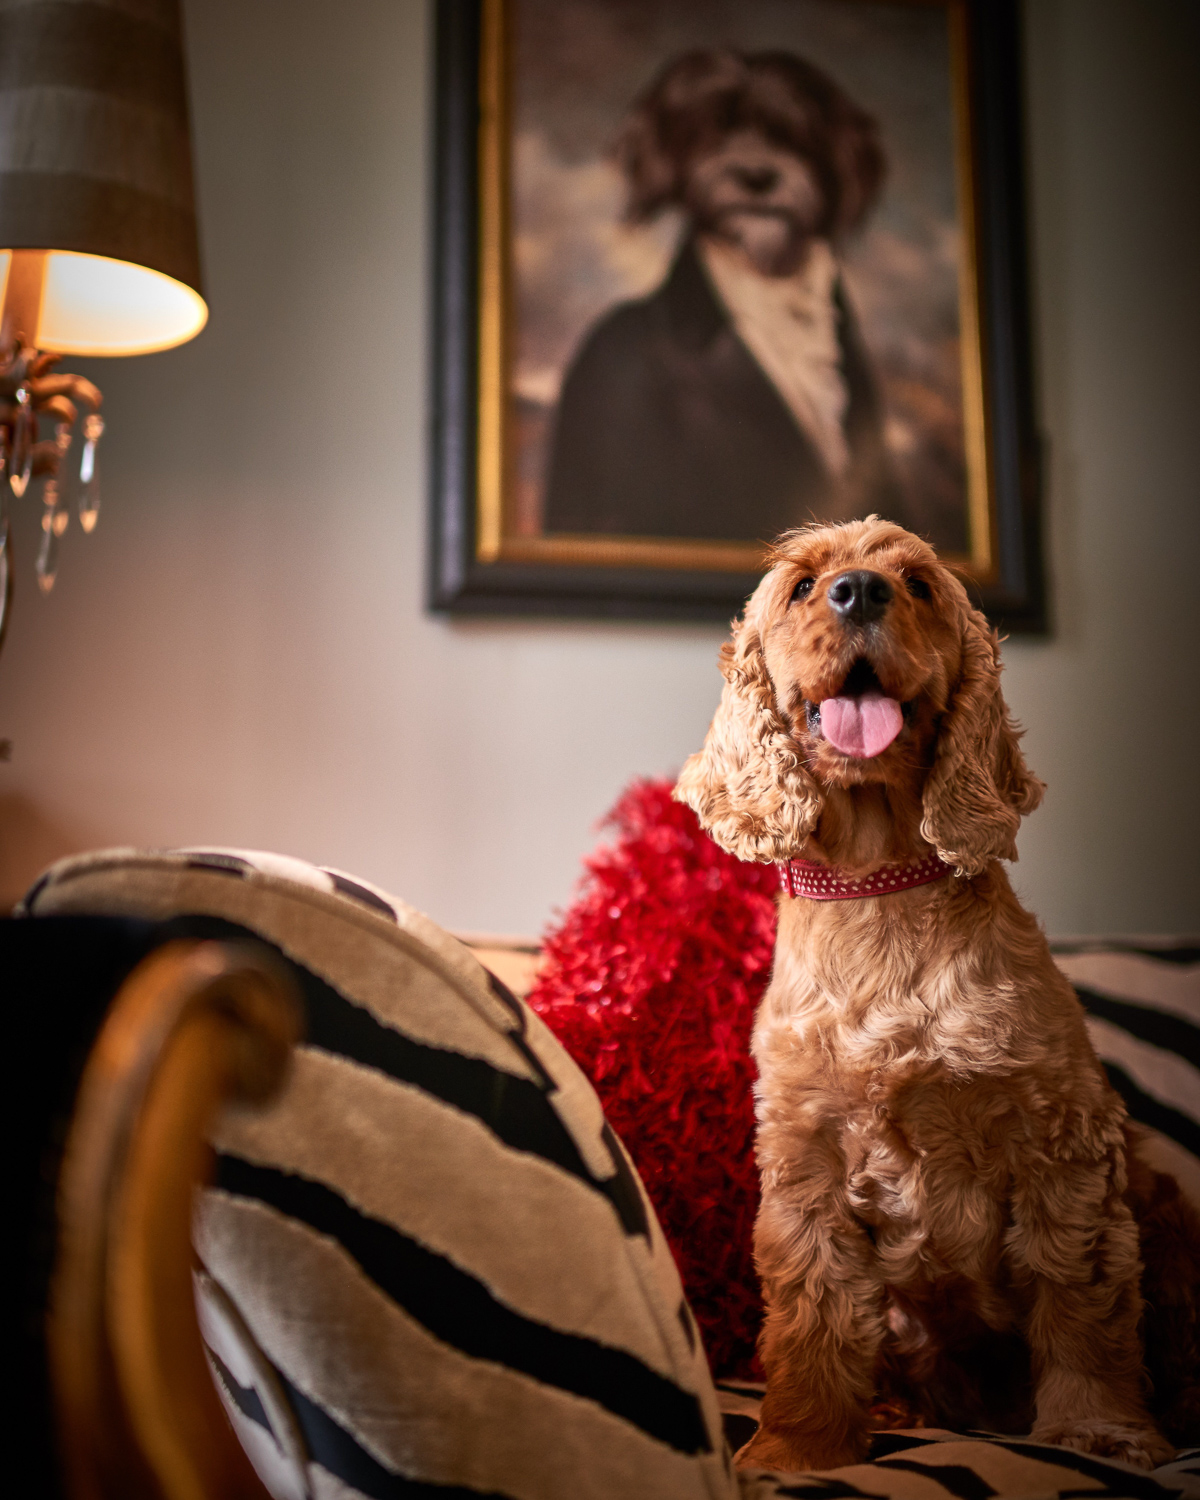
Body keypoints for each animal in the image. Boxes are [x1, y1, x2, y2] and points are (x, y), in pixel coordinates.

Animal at [675, 522, 1200, 1470]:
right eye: (801, 587)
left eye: (916, 583)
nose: (858, 591)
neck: (878, 888)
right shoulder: (805, 1156)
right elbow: (812, 1312)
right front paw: (795, 1449)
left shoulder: (1060, 1139)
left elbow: (1081, 1302)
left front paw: (1098, 1433)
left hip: (1170, 1213)